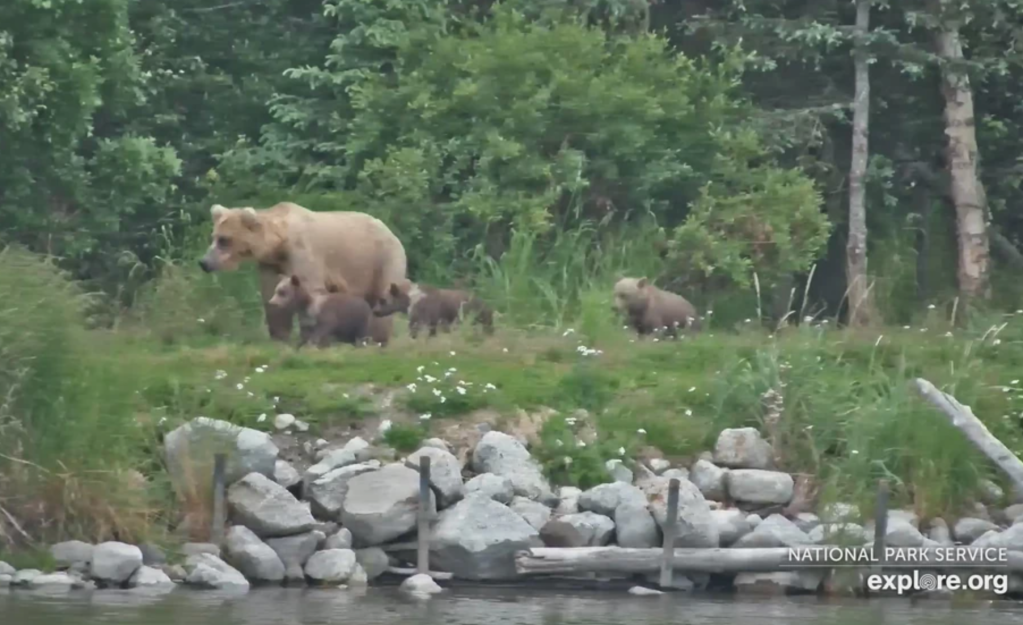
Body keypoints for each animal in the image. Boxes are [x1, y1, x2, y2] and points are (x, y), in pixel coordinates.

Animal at [198, 202, 407, 346]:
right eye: (213, 237)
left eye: (224, 240)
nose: (204, 262)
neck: (279, 244)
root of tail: (391, 231)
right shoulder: (271, 264)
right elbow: (271, 295)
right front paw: (279, 337)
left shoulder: (303, 252)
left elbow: (310, 290)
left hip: (380, 259)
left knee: (382, 296)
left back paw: (377, 338)